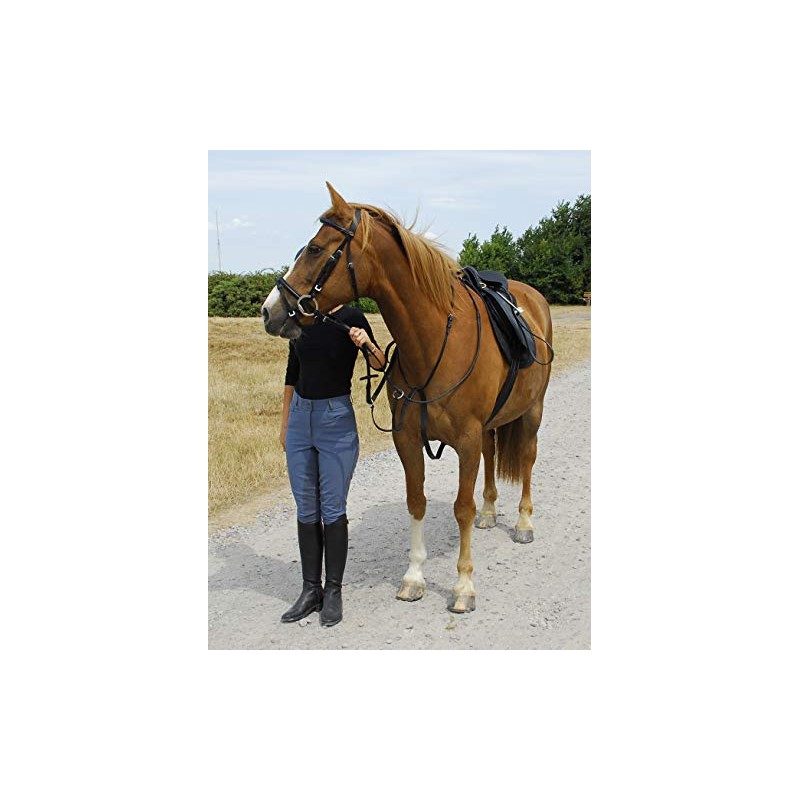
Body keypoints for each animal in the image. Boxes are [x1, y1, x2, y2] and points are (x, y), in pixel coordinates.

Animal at [261, 182, 552, 613]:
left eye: (314, 249)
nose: (270, 311)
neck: (434, 343)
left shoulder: (465, 440)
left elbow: (460, 508)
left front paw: (463, 585)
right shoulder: (409, 439)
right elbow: (417, 501)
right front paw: (414, 577)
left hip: (532, 412)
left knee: (528, 459)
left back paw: (523, 522)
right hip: (490, 426)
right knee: (492, 454)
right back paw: (489, 511)